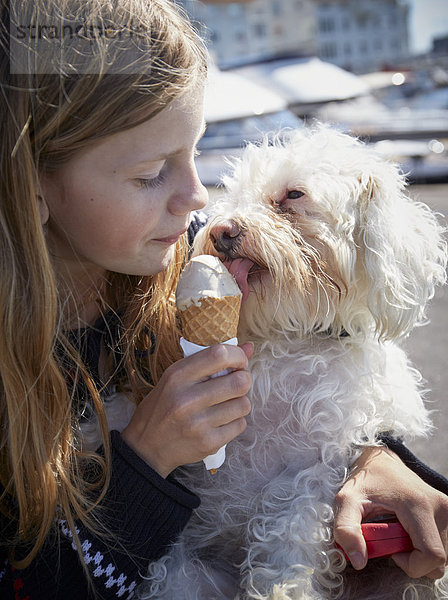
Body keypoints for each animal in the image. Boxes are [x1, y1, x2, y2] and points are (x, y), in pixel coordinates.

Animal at [136, 126, 448, 600]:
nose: (221, 230)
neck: (294, 338)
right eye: (234, 194)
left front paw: (282, 587)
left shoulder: (314, 471)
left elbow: (288, 542)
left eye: (294, 194)